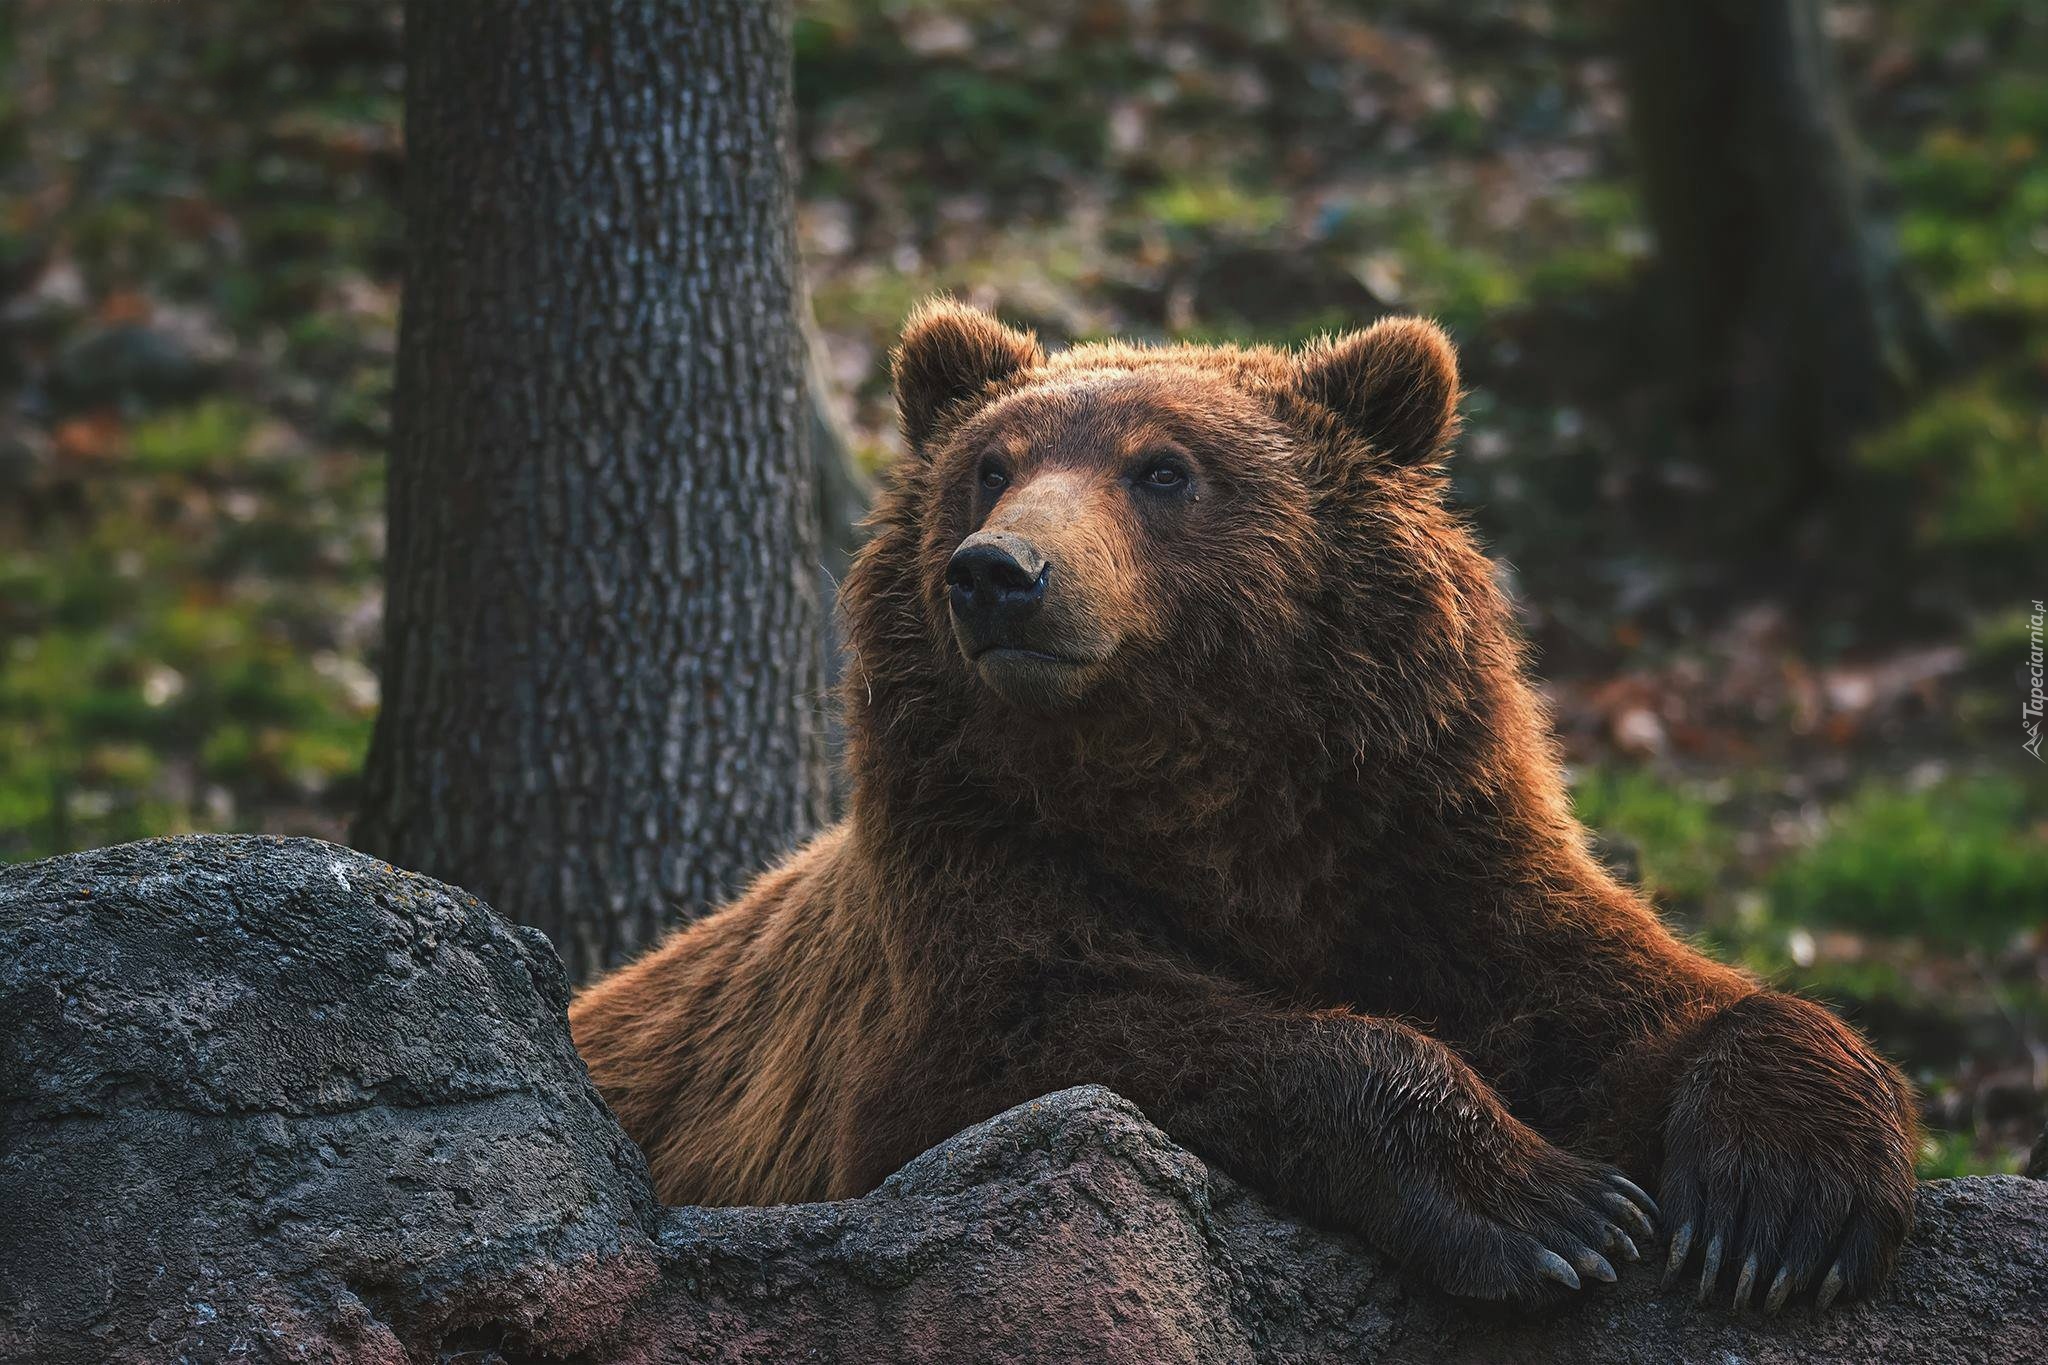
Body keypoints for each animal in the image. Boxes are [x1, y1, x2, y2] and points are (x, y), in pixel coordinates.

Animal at [565, 300, 1916, 1309]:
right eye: (988, 467)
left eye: (1163, 469)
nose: (997, 573)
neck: (1200, 795)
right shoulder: (967, 886)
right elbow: (1060, 1042)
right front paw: (1550, 1207)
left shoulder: (1423, 844)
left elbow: (1631, 997)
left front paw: (1778, 1209)